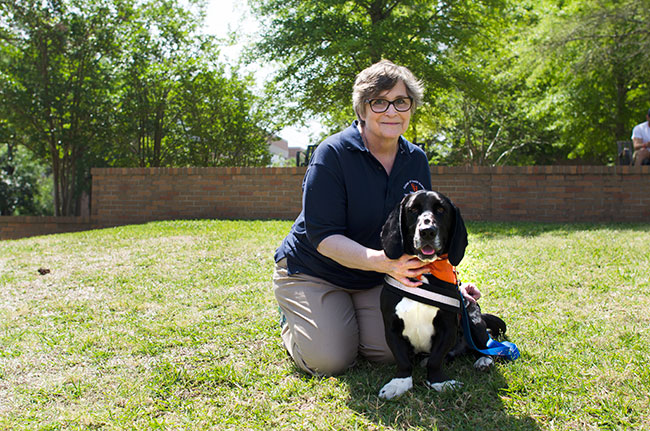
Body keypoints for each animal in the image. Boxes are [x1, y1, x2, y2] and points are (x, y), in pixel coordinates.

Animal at [378, 191, 508, 400]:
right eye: (413, 209)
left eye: (441, 210)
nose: (427, 231)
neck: (426, 270)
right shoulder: (391, 326)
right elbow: (402, 360)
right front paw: (399, 383)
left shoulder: (447, 327)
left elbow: (436, 360)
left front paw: (439, 382)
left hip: (472, 318)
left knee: (483, 344)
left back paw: (483, 361)